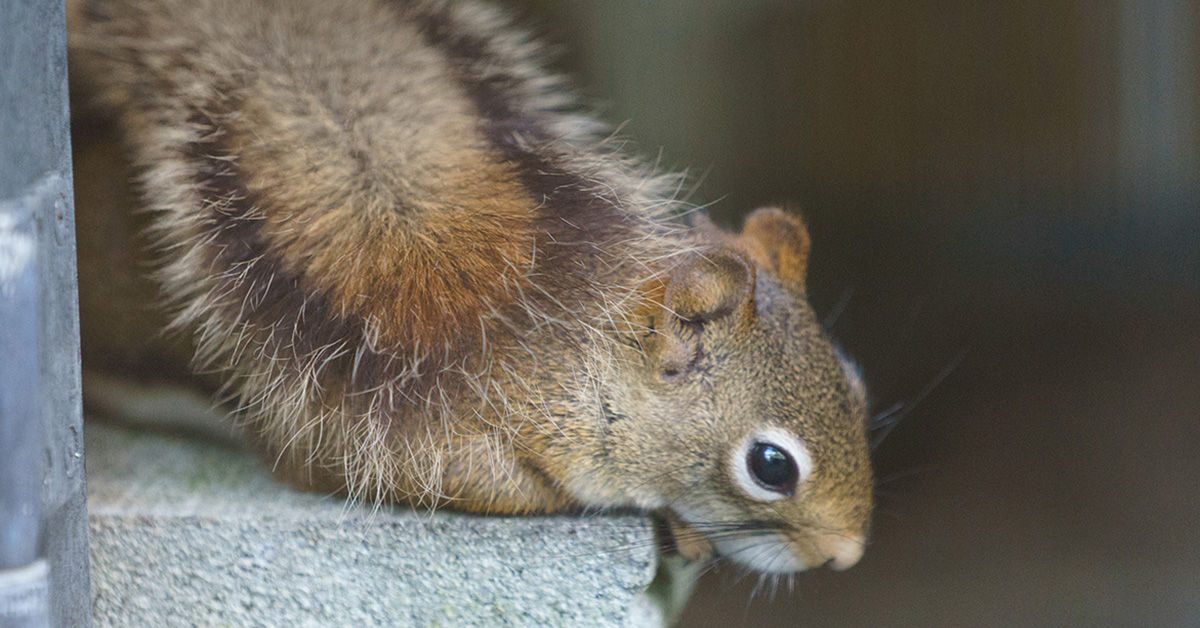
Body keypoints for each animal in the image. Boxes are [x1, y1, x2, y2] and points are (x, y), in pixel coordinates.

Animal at [65, 0, 873, 573]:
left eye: (856, 384)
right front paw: (672, 519)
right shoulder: (411, 441)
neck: (574, 366)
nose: (847, 553)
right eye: (771, 466)